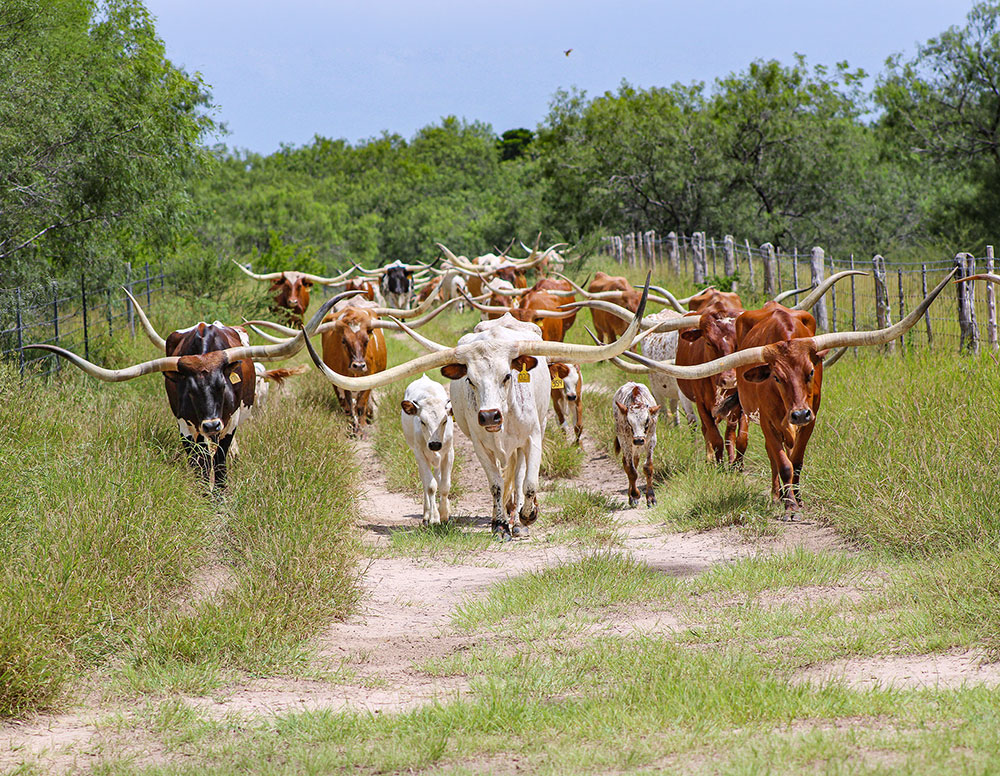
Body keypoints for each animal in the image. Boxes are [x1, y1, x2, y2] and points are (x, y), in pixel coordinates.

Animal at [29, 291, 349, 487]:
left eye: (222, 385)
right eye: (190, 390)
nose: (211, 424)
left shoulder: (230, 421)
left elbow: (219, 461)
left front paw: (220, 494)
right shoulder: (185, 424)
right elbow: (199, 462)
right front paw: (204, 492)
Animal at [400, 376, 455, 525]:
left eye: (445, 421)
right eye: (422, 421)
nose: (435, 444)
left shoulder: (449, 453)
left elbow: (445, 485)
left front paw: (444, 513)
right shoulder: (420, 454)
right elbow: (430, 486)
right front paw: (434, 517)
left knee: (438, 477)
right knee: (425, 482)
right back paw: (426, 514)